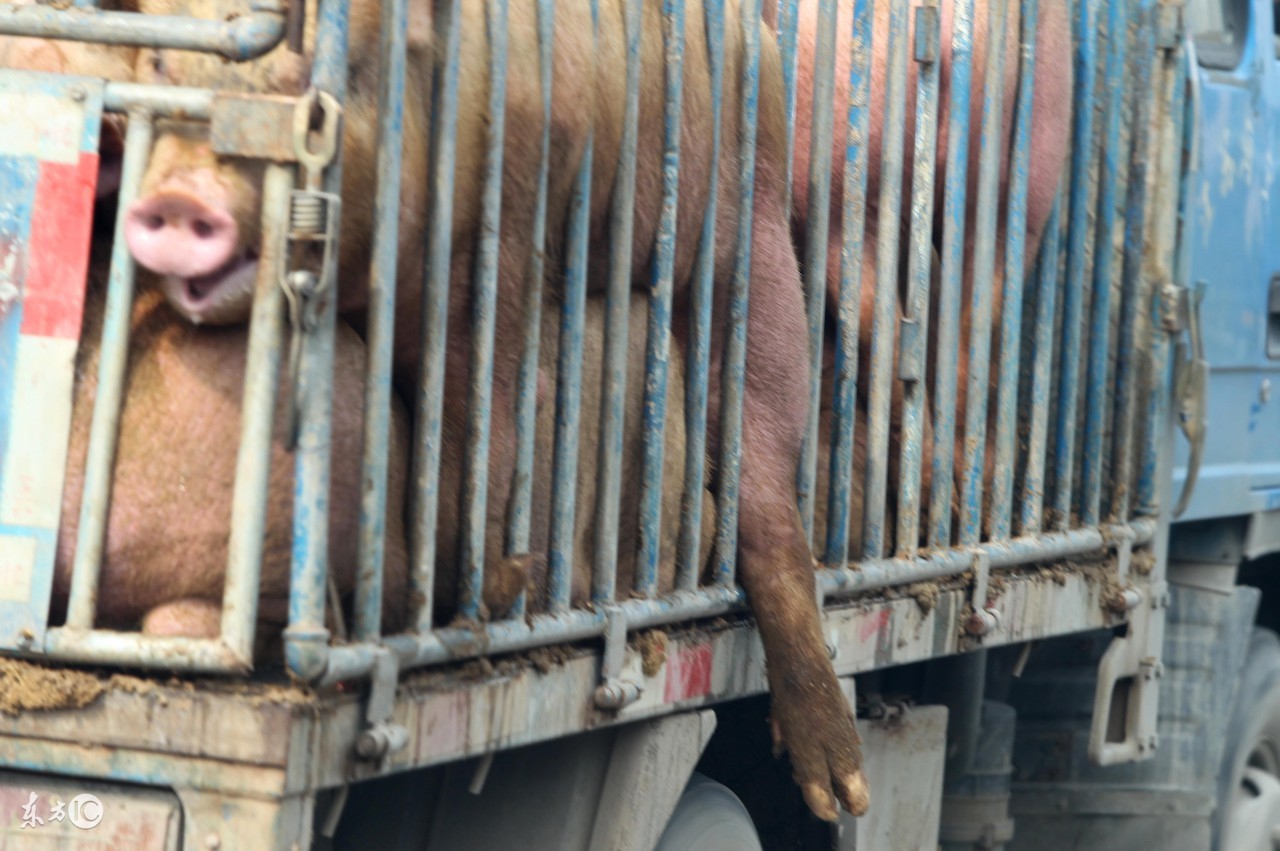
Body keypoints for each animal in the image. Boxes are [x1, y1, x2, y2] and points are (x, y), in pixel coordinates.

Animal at [124, 0, 870, 819]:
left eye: (328, 76)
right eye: (158, 64)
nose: (182, 196)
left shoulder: (500, 254)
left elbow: (479, 440)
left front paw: (490, 590)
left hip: (751, 230)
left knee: (765, 482)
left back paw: (840, 793)